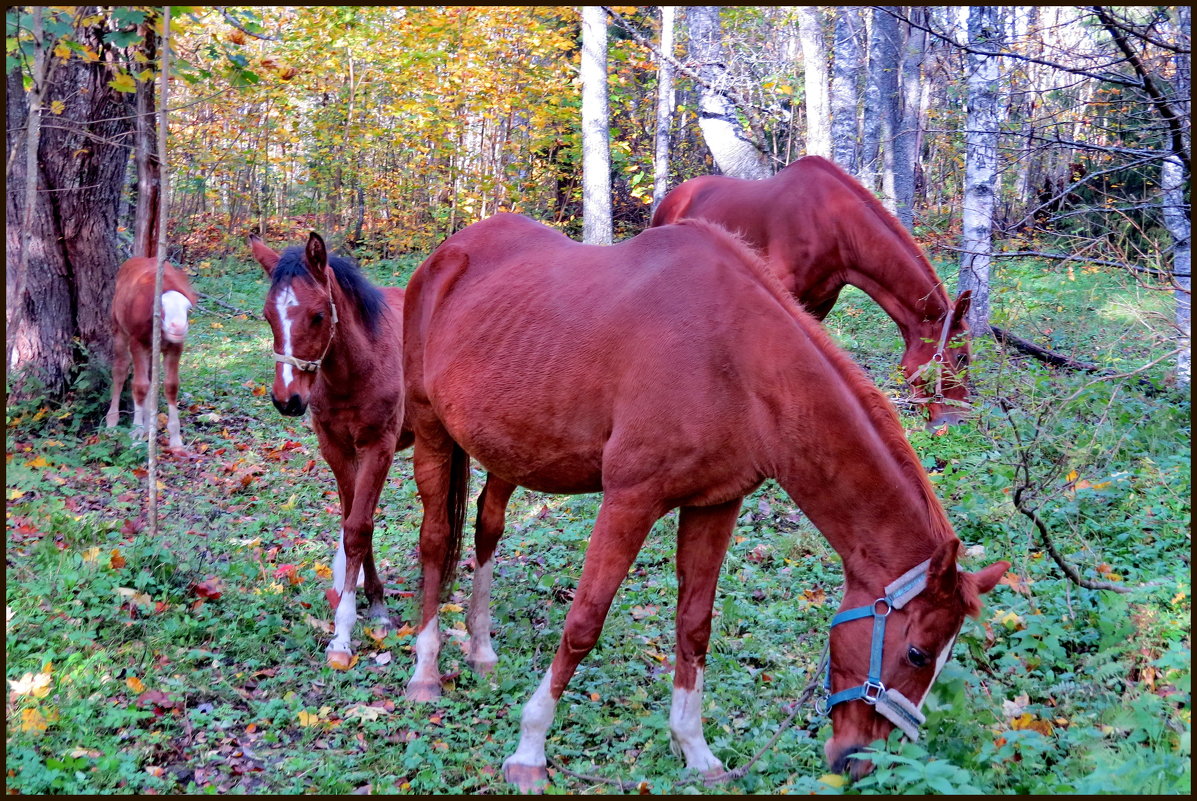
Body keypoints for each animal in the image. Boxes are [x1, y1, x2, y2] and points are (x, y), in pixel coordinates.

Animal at [104, 257, 196, 450]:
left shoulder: (175, 346)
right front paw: (136, 434)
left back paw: (149, 425)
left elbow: (171, 385)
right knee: (120, 370)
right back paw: (112, 422)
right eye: (161, 309)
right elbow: (139, 386)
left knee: (150, 376)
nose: (178, 327)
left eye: (188, 310)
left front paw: (175, 439)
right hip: (119, 330)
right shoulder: (137, 342)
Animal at [247, 232, 411, 670]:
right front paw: (372, 607)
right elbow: (354, 522)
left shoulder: (379, 446)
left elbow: (359, 528)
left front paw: (344, 633)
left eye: (318, 316)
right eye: (268, 316)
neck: (358, 365)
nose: (286, 400)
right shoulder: (336, 448)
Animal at [402, 211, 1010, 785]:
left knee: (486, 527)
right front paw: (529, 750)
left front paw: (695, 750)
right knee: (435, 540)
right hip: (432, 430)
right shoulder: (630, 500)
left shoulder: (715, 504)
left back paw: (481, 649)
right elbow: (583, 623)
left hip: (509, 447)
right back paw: (425, 673)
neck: (733, 360)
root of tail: (447, 254)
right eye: (917, 652)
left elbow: (694, 626)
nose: (859, 761)